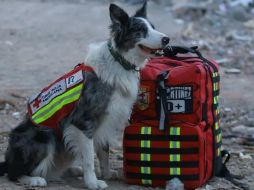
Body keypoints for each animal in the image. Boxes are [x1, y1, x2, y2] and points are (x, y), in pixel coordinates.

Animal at [0, 2, 171, 189]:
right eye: (140, 30)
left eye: (153, 27)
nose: (167, 39)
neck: (120, 61)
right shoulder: (83, 121)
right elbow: (89, 157)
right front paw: (92, 182)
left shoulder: (106, 119)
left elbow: (103, 151)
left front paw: (107, 173)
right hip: (44, 136)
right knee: (12, 172)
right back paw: (33, 179)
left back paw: (71, 170)